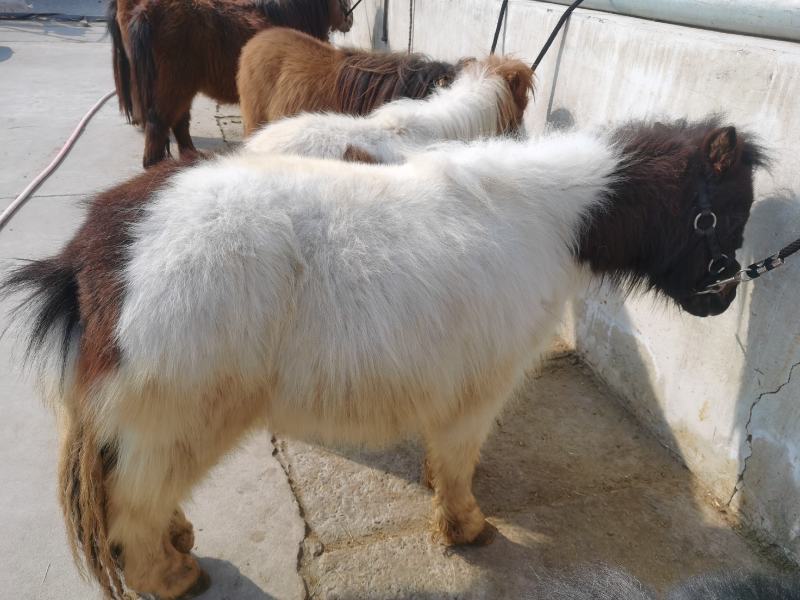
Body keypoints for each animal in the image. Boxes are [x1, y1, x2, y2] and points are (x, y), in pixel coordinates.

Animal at [1, 118, 764, 599]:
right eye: (723, 213)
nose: (723, 297)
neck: (551, 222)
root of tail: (99, 250)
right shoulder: (480, 389)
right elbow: (459, 462)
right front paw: (466, 529)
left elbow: (444, 457)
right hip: (183, 418)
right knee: (130, 507)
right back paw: (173, 577)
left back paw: (179, 540)